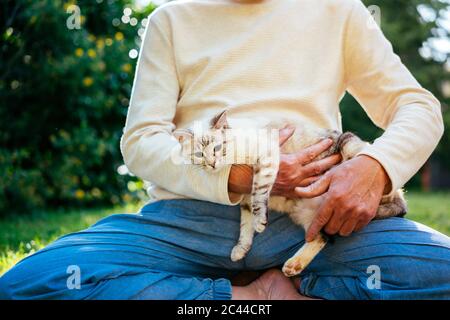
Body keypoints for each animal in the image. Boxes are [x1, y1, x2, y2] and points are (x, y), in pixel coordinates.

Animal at [174, 110, 406, 278]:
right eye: (199, 154)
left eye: (217, 148)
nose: (212, 164)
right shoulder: (245, 196)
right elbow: (245, 225)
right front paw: (240, 249)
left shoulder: (265, 159)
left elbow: (259, 196)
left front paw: (260, 223)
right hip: (305, 212)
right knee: (320, 237)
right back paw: (293, 266)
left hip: (349, 147)